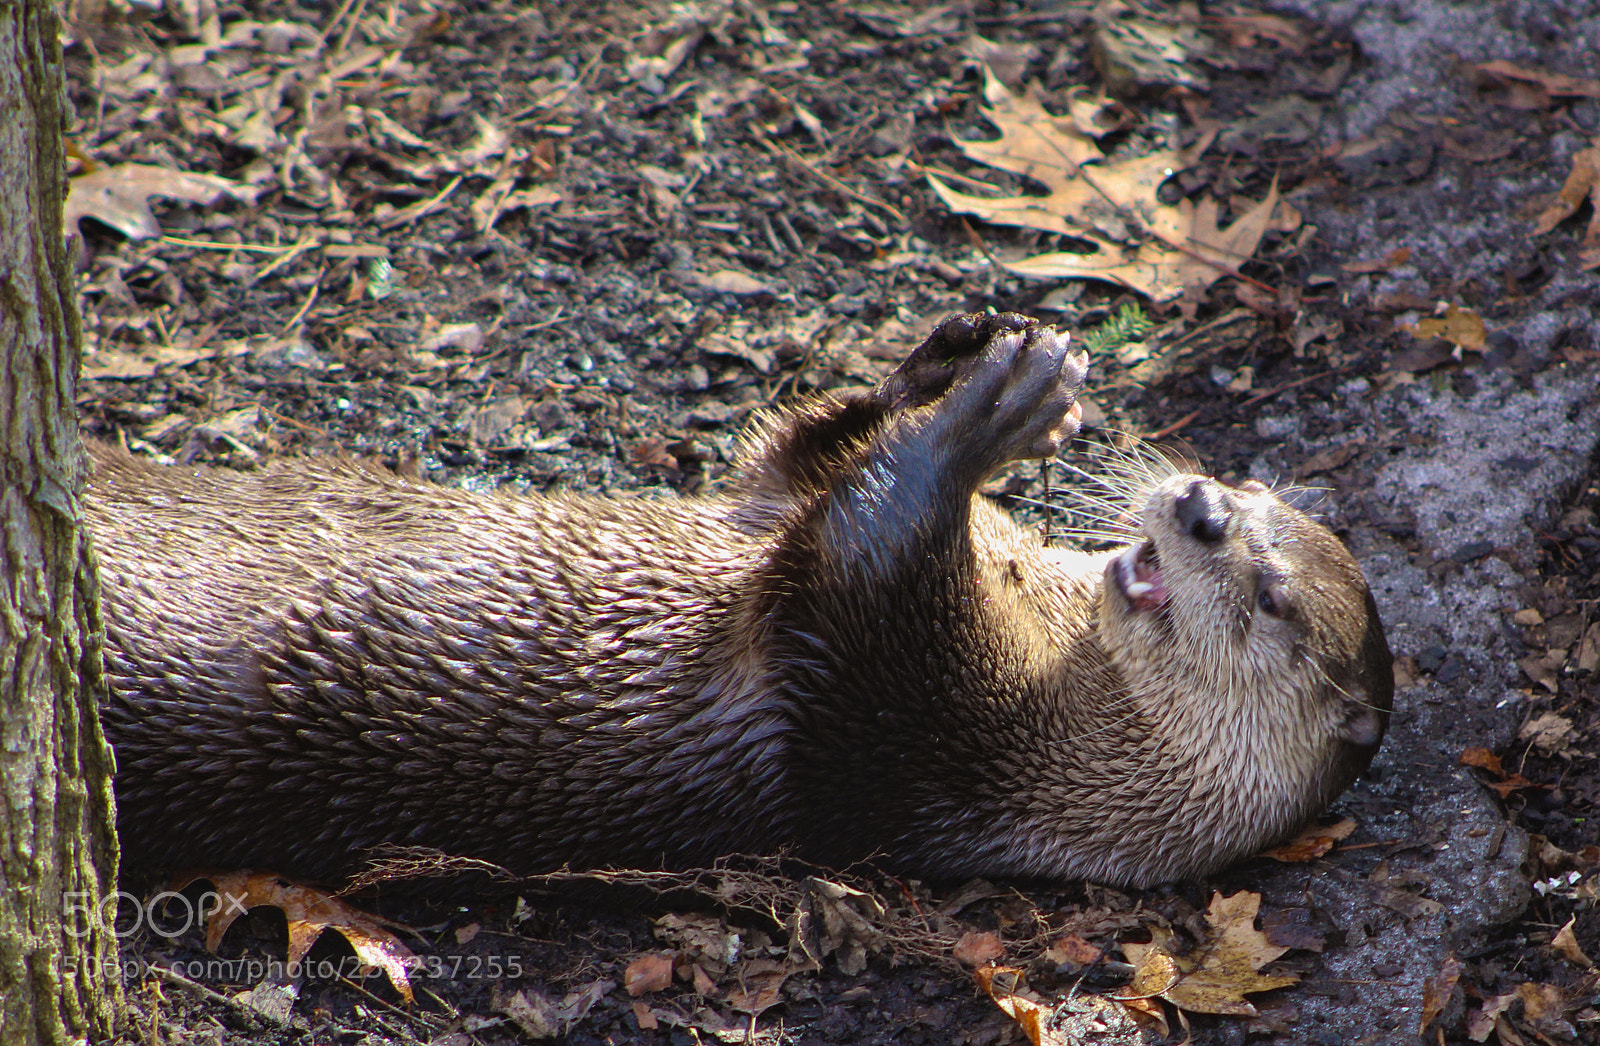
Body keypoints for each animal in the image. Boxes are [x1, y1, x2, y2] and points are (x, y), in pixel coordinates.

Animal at [88, 312, 1392, 888]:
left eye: (1271, 593)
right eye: (1245, 484)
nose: (1200, 506)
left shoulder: (916, 749)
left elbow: (855, 558)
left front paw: (986, 415)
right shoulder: (771, 517)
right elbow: (791, 460)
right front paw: (942, 362)